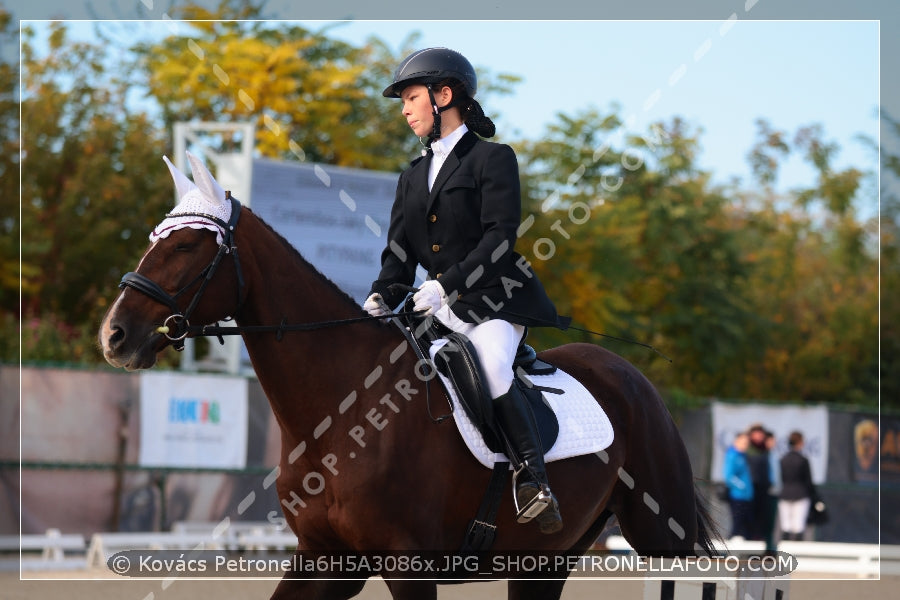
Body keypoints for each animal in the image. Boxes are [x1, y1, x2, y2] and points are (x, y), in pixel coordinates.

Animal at [98, 155, 716, 600]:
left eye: (185, 245)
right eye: (154, 240)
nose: (115, 336)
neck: (339, 411)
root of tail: (631, 376)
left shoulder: (407, 563)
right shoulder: (326, 560)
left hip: (664, 537)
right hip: (542, 562)